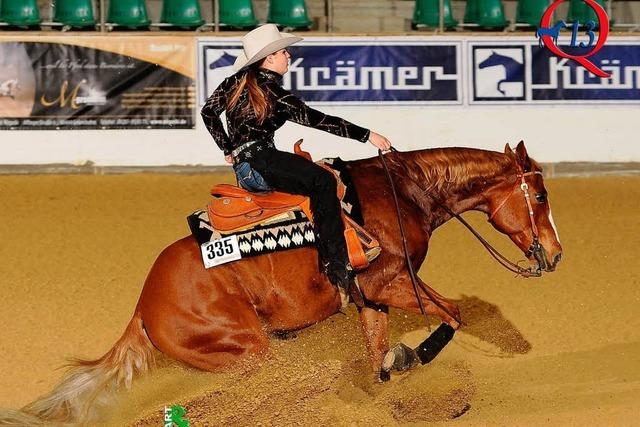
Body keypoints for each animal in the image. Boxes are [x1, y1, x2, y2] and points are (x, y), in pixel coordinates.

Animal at [3, 142, 560, 426]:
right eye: (541, 195)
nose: (554, 255)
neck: (403, 191)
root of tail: (144, 307)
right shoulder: (392, 282)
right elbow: (451, 315)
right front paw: (409, 359)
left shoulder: (370, 298)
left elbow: (378, 353)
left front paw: (393, 381)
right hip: (247, 349)